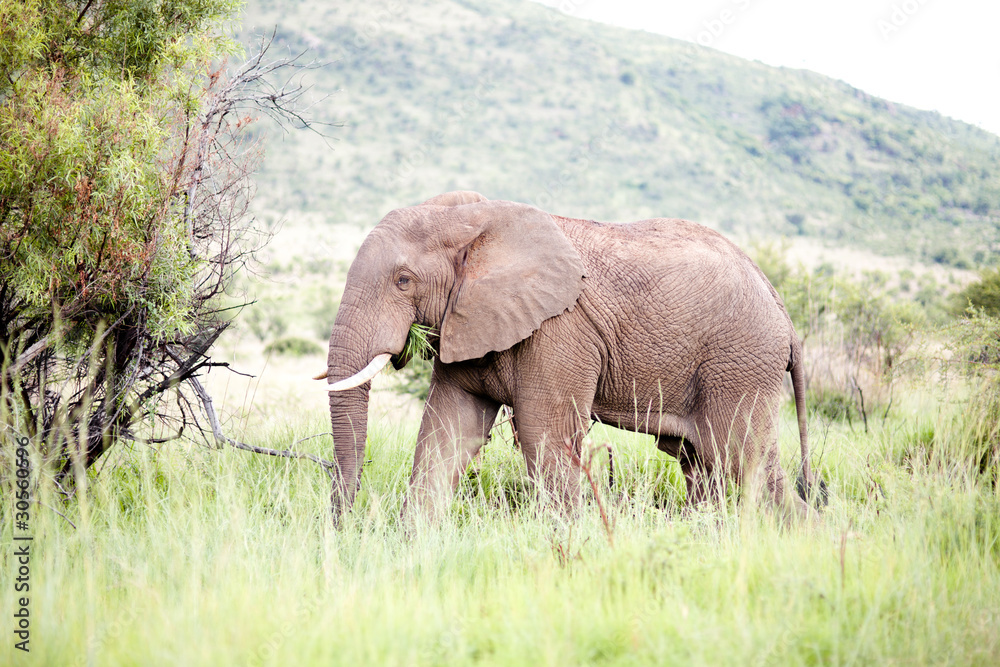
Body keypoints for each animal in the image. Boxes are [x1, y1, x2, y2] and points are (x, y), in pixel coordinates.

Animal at [317, 191, 818, 520]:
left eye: (403, 280)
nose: (346, 527)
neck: (477, 217)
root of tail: (783, 313)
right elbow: (446, 433)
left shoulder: (559, 332)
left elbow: (543, 437)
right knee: (702, 463)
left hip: (740, 360)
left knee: (743, 461)